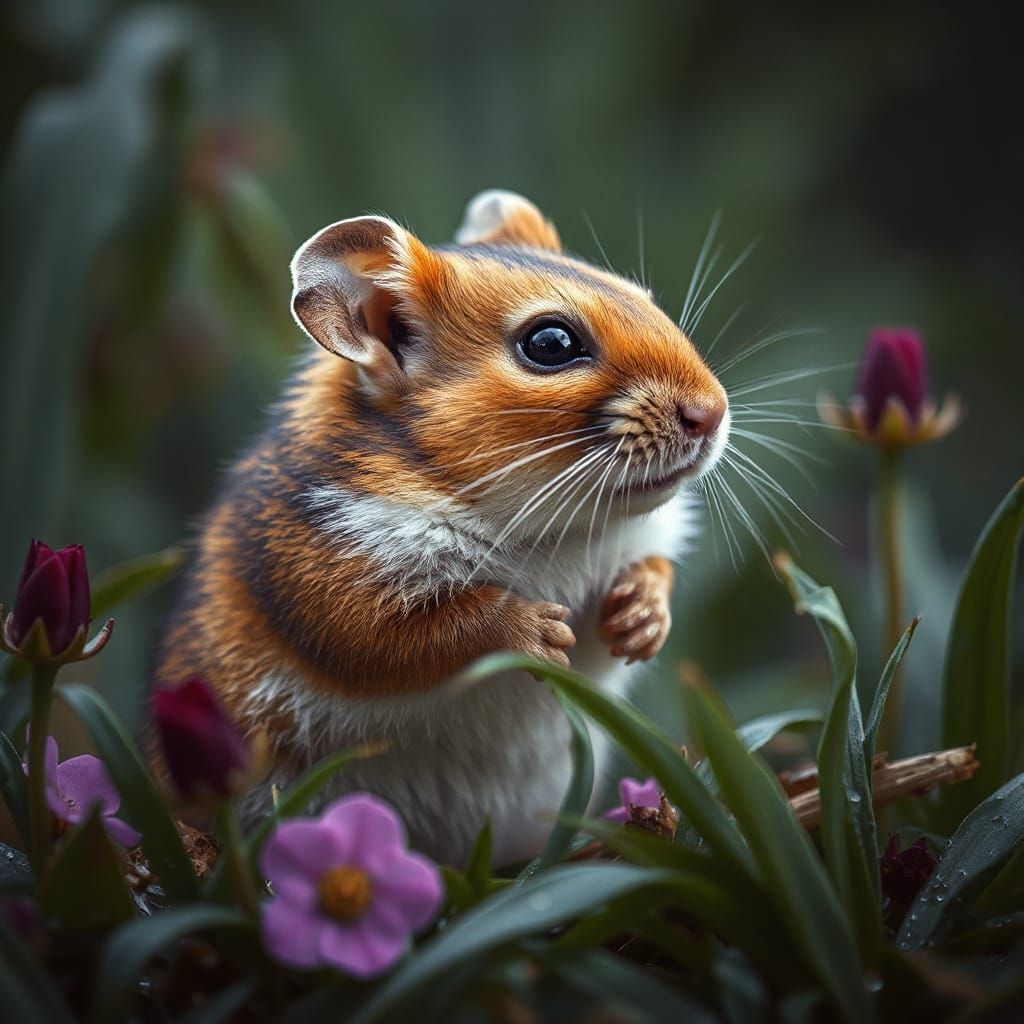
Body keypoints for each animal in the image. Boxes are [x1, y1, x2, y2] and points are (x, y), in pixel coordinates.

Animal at [155, 190, 729, 867]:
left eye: (643, 296)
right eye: (551, 343)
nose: (713, 412)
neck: (556, 529)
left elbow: (655, 569)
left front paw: (641, 618)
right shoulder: (327, 578)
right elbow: (414, 635)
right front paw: (538, 632)